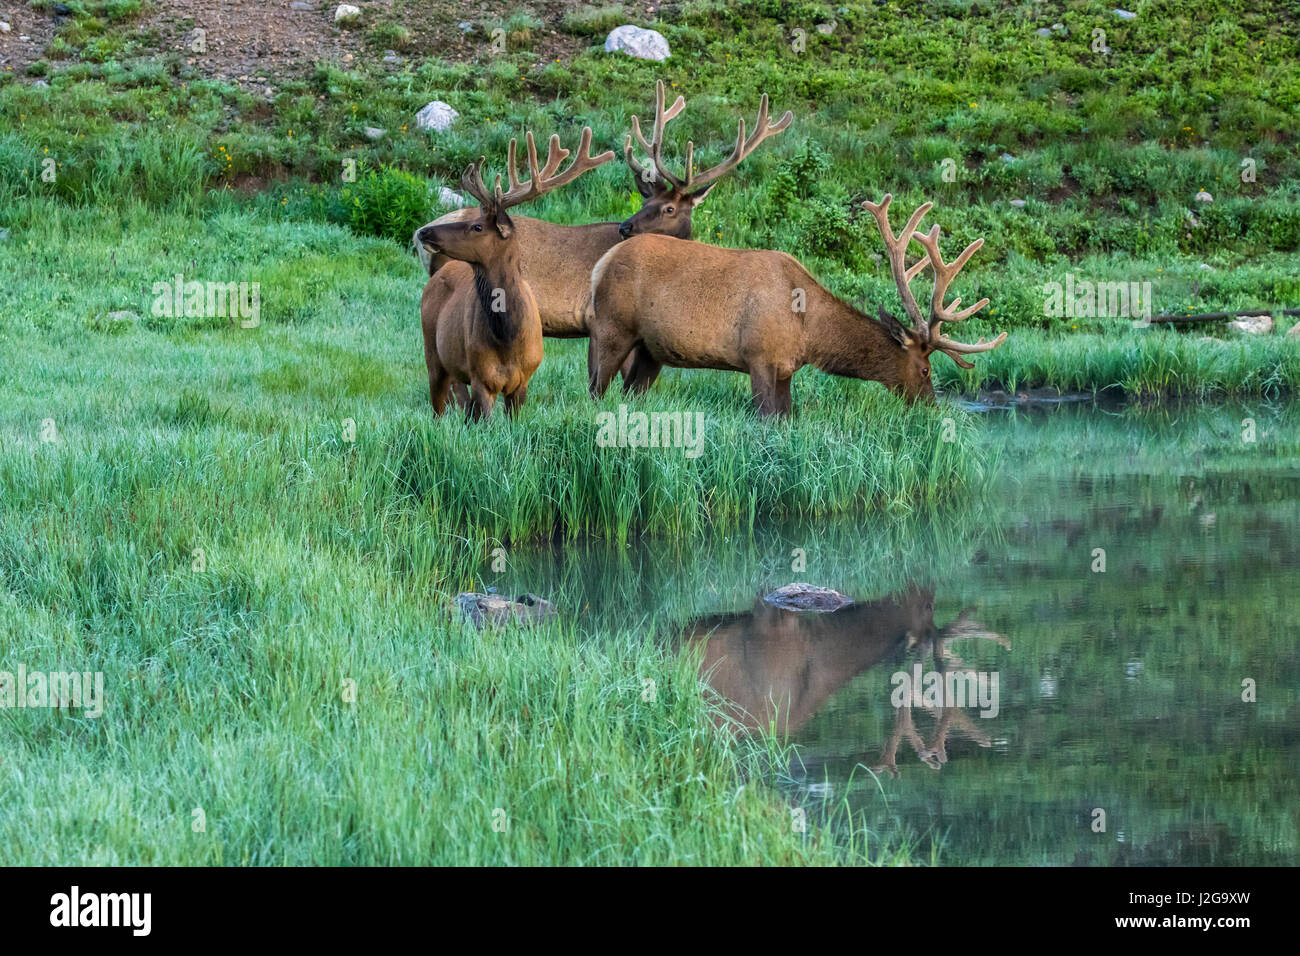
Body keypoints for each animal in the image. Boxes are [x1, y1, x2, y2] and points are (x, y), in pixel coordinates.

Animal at [418, 128, 616, 421]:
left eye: (476, 227)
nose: (424, 231)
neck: (507, 338)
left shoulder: (523, 380)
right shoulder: (481, 378)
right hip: (433, 355)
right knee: (438, 409)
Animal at [585, 195, 1008, 416]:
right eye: (924, 369)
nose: (932, 408)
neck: (807, 329)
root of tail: (600, 265)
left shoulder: (786, 369)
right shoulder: (758, 357)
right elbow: (764, 418)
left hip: (651, 350)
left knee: (630, 390)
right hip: (611, 329)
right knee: (595, 389)